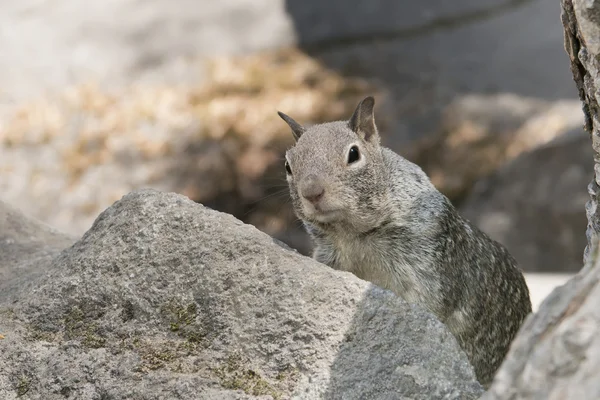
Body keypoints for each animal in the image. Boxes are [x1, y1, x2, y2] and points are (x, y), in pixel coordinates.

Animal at [278, 96, 532, 388]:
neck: (354, 235)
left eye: (353, 154)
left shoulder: (425, 270)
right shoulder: (328, 258)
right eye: (288, 165)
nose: (311, 192)